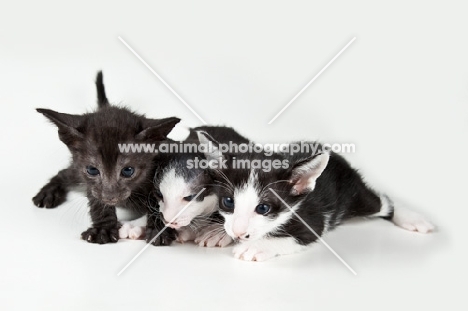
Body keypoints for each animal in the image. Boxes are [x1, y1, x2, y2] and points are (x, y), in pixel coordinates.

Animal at [32, 72, 179, 246]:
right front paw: (104, 229)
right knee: (64, 173)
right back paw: (48, 193)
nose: (110, 196)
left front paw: (159, 229)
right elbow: (97, 199)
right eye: (92, 170)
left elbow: (161, 201)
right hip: (76, 173)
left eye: (128, 171)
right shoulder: (91, 184)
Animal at [198, 135, 436, 262]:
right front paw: (218, 232)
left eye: (263, 208)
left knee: (383, 201)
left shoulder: (312, 217)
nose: (238, 233)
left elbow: (296, 237)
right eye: (228, 202)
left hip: (357, 197)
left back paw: (412, 219)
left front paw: (257, 246)